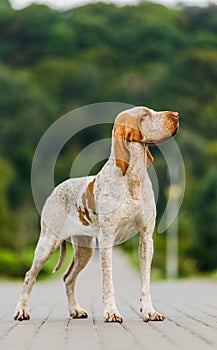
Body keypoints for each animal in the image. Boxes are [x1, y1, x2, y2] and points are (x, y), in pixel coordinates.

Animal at [14, 106, 180, 322]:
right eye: (144, 115)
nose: (176, 115)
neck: (134, 178)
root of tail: (56, 189)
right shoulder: (107, 239)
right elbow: (108, 282)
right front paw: (111, 312)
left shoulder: (146, 239)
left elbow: (146, 281)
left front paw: (150, 311)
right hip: (47, 243)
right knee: (29, 276)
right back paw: (21, 310)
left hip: (85, 249)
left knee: (68, 278)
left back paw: (75, 310)